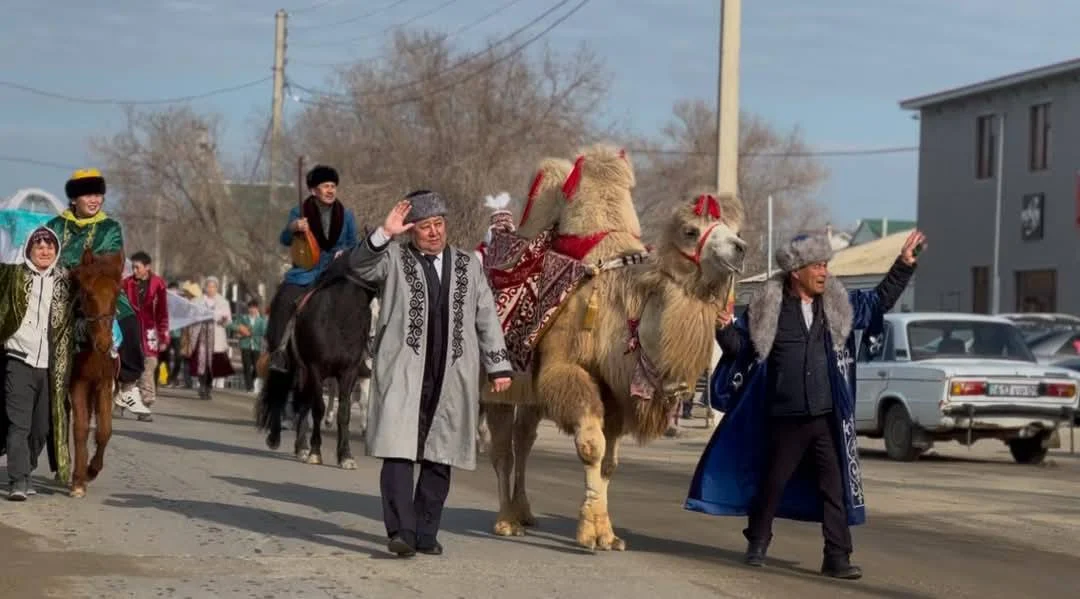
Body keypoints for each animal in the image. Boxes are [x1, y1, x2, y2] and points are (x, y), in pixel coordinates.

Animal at [253, 267, 375, 468]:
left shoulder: (349, 372)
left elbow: (344, 412)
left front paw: (345, 455)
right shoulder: (316, 368)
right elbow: (318, 408)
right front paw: (315, 452)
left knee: (303, 403)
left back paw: (301, 446)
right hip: (291, 367)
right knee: (281, 392)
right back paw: (275, 438)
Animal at [481, 144, 743, 548]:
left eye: (736, 229)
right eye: (690, 231)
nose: (739, 249)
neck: (626, 305)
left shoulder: (616, 389)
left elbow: (610, 461)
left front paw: (607, 534)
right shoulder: (568, 368)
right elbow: (592, 446)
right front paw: (589, 533)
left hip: (531, 390)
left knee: (524, 439)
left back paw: (524, 512)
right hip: (500, 383)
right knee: (501, 449)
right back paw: (506, 520)